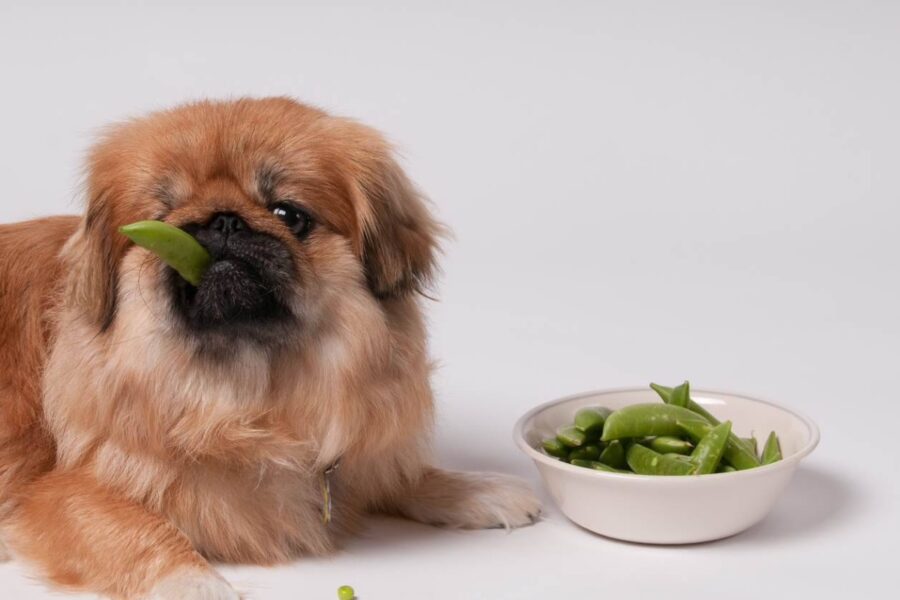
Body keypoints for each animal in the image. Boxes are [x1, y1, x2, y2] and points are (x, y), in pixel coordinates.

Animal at [0, 96, 536, 596]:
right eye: (163, 220)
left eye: (288, 214)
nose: (224, 220)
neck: (250, 399)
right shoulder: (59, 493)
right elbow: (140, 529)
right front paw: (198, 584)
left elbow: (400, 475)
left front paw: (475, 490)